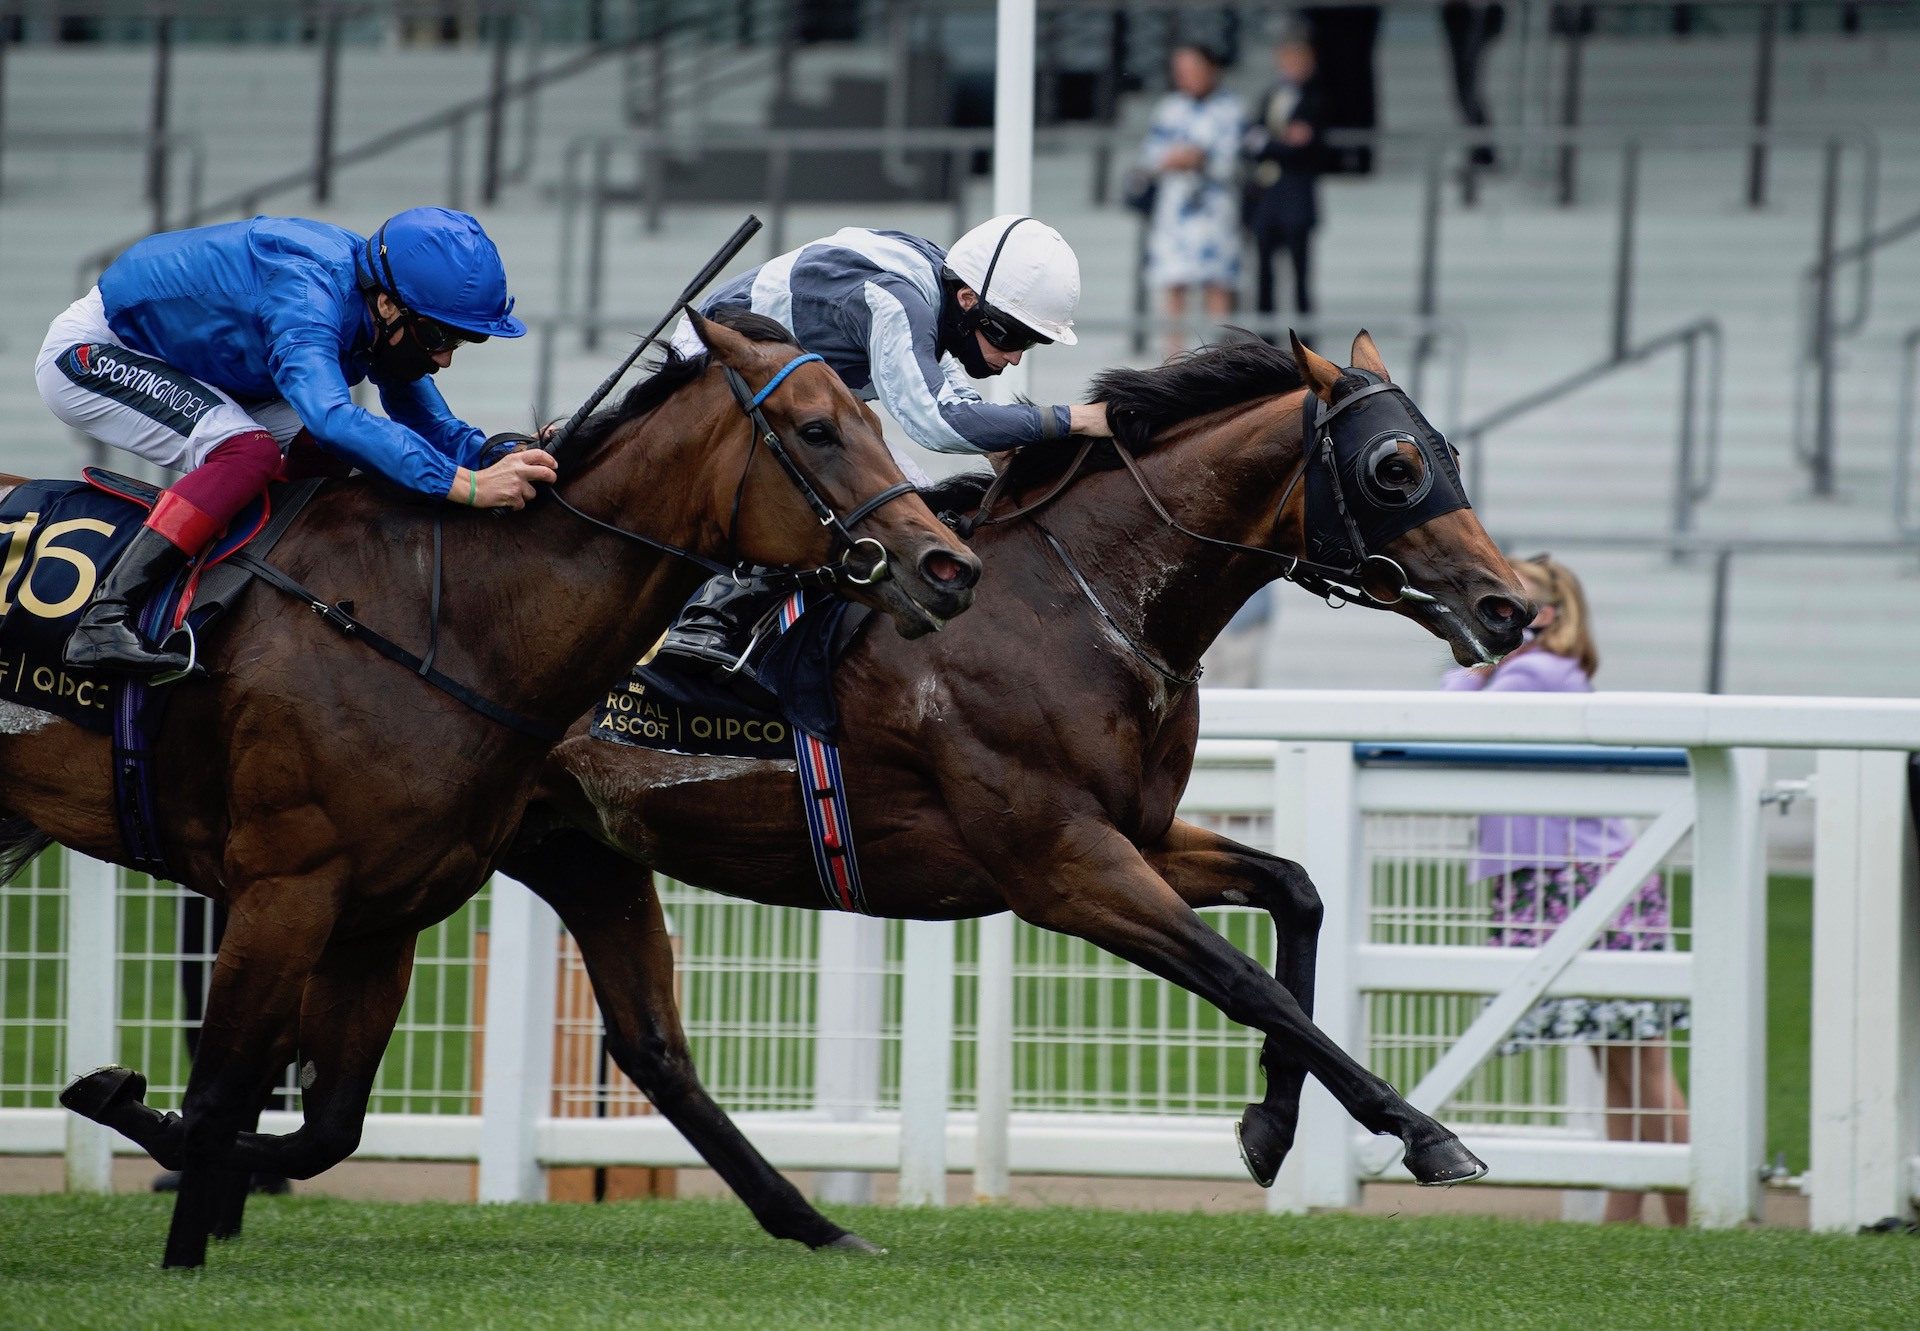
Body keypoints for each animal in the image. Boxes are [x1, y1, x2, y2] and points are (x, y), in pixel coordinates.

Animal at [7, 303, 983, 1267]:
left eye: (876, 424)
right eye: (818, 429)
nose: (949, 567)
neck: (446, 618)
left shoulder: (379, 912)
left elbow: (327, 1124)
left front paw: (138, 1115)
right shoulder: (286, 887)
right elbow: (221, 1096)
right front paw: (173, 1228)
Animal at [495, 330, 1528, 1244]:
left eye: (1449, 453)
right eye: (1395, 467)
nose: (1508, 606)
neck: (1074, 602)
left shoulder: (1134, 834)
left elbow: (1297, 894)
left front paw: (1273, 1124)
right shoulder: (1062, 866)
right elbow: (1245, 980)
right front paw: (1425, 1134)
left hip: (578, 851)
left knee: (651, 1047)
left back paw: (810, 1221)